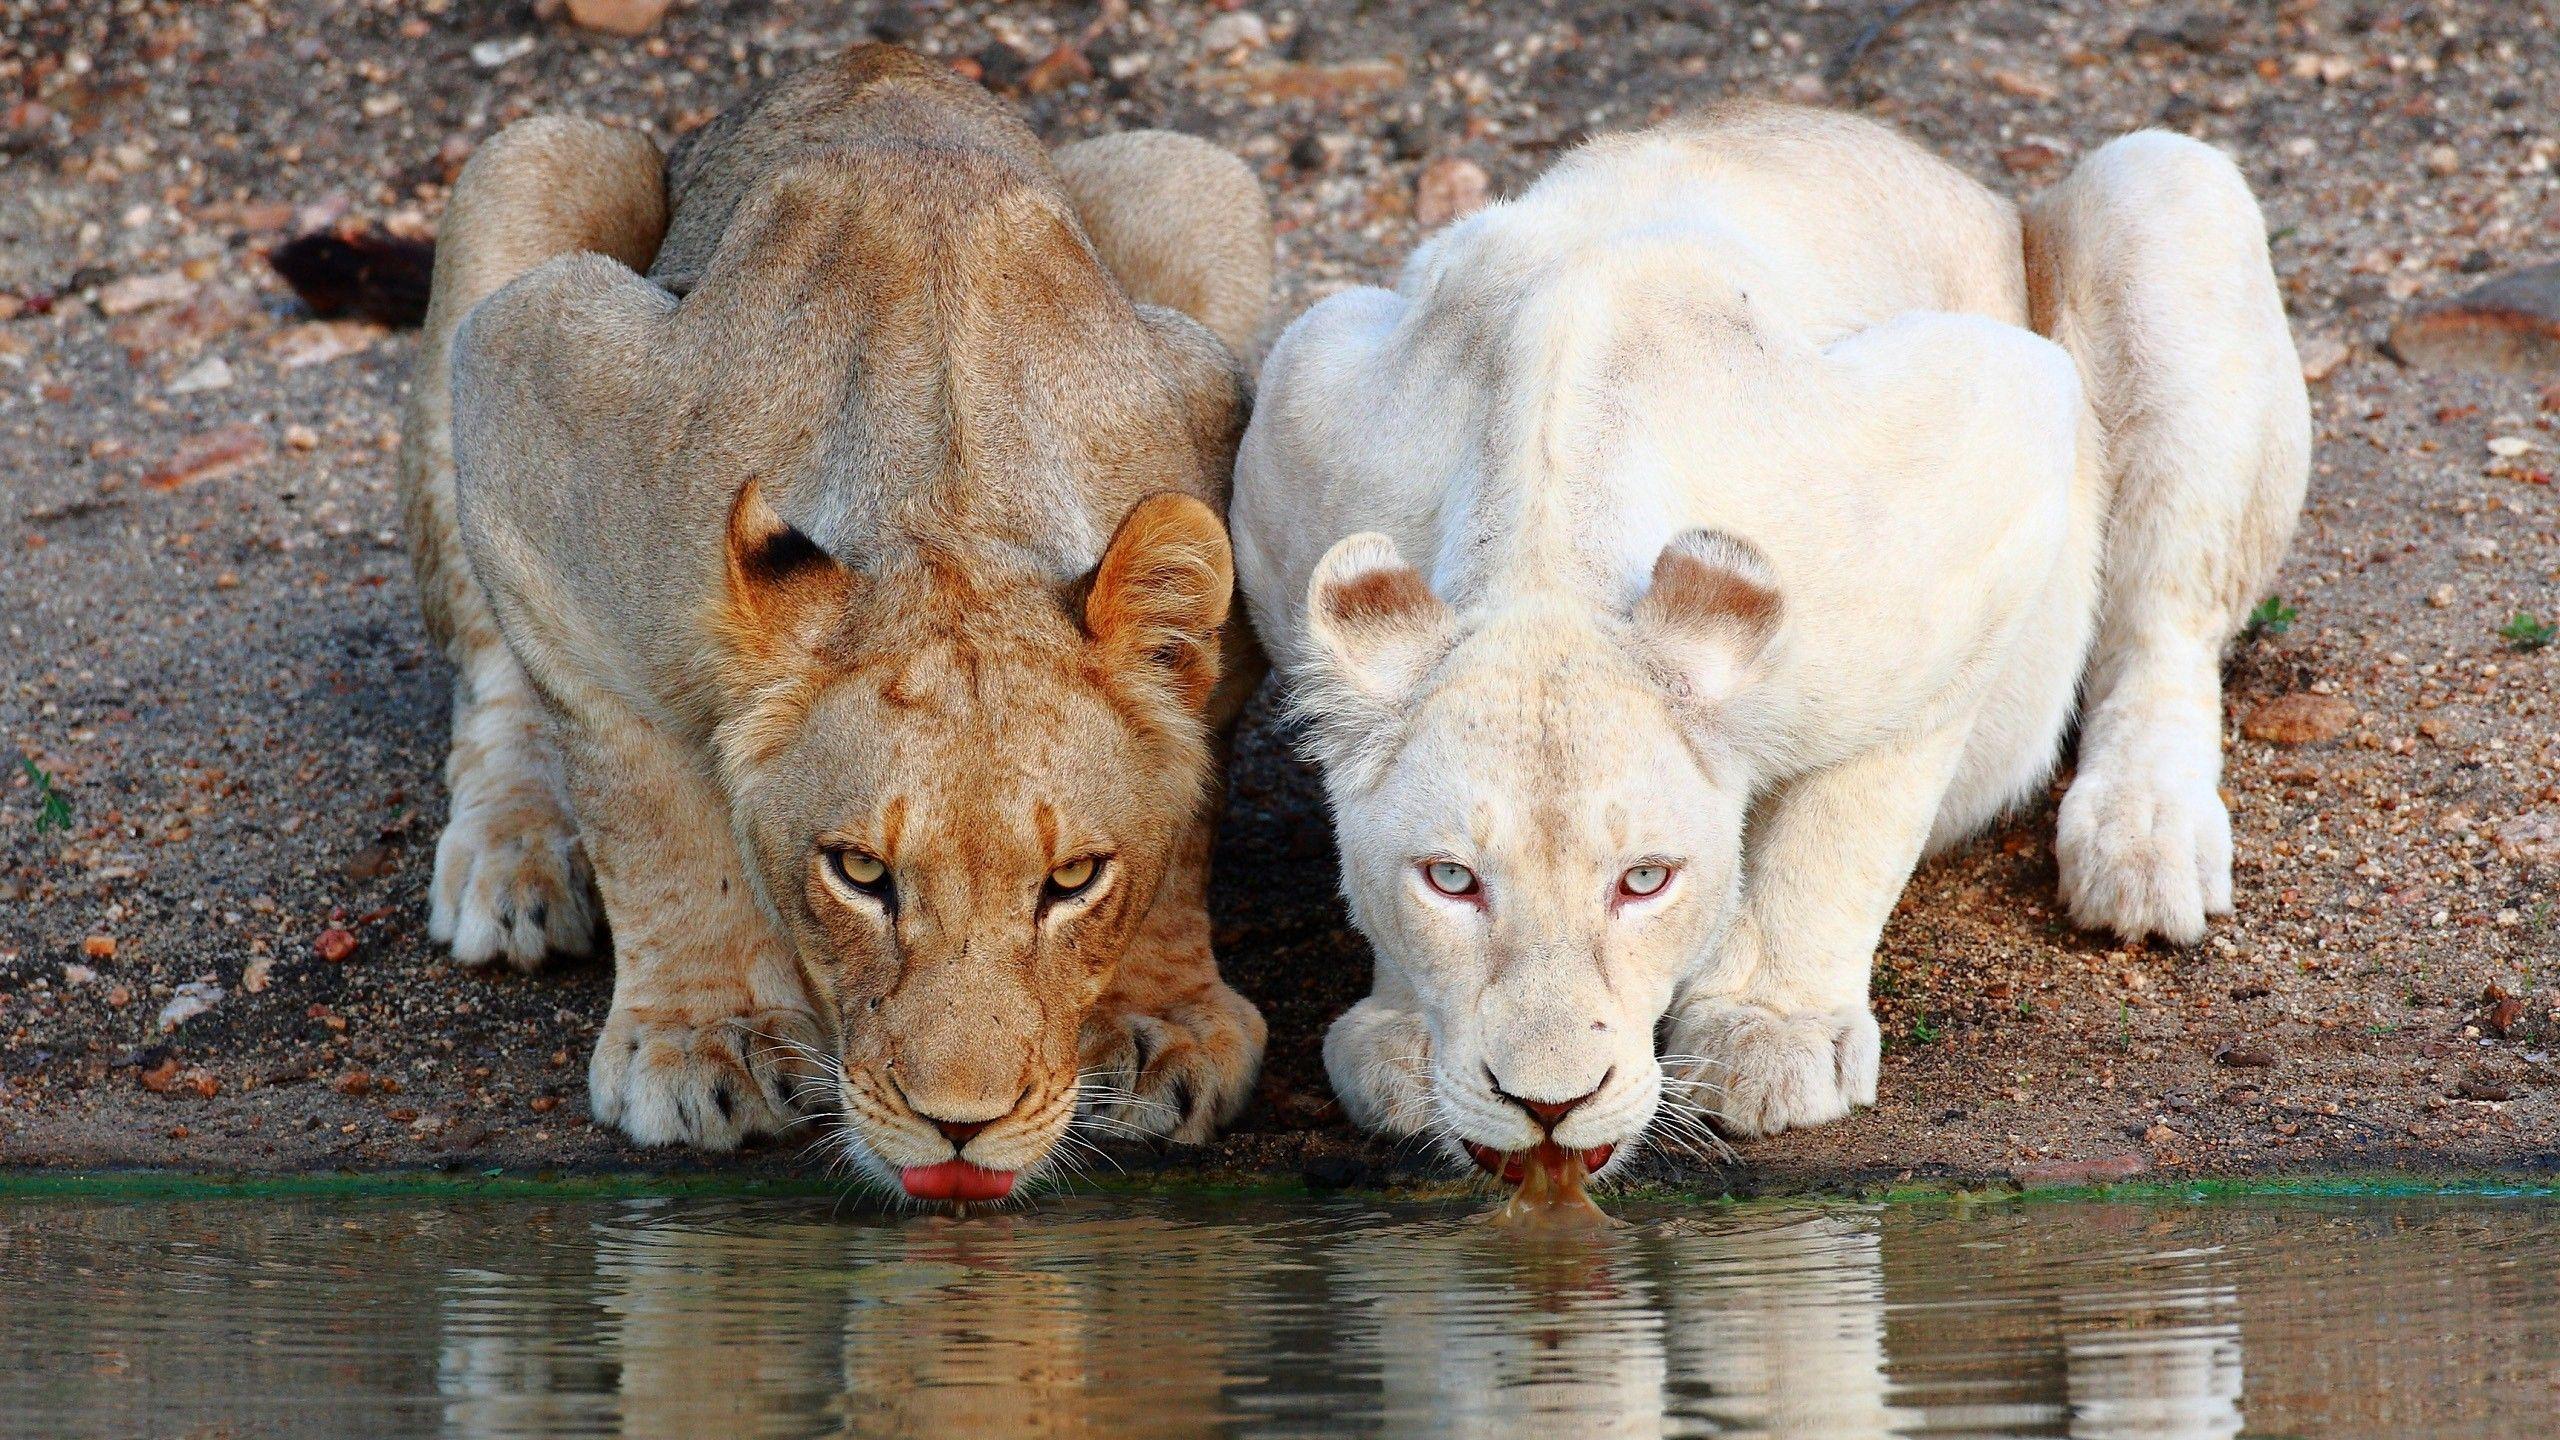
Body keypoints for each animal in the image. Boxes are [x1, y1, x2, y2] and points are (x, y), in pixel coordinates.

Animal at [397, 45, 1272, 1201]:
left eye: (1073, 881)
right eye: (859, 874)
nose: (961, 1127)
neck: (951, 505)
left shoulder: (1216, 431)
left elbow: (1186, 814)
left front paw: (1156, 1020)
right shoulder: (532, 376)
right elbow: (645, 799)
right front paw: (705, 1036)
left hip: (1195, 178)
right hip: (533, 162)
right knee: (493, 672)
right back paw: (512, 864)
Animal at [1232, 105, 2308, 1179]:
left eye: (1645, 880)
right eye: (1450, 880)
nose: (1548, 1106)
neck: (1546, 541)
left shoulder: (1993, 446)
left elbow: (1845, 824)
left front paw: (1768, 1034)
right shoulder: (1295, 414)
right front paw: (1402, 1038)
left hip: (2163, 189)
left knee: (2164, 622)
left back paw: (2144, 846)